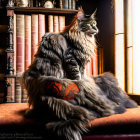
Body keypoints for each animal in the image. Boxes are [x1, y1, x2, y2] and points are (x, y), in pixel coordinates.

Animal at [22, 9, 138, 139]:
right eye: (90, 24)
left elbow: (81, 75)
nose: (97, 28)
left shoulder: (81, 64)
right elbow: (76, 76)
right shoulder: (72, 59)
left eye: (95, 24)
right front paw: (79, 82)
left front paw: (83, 82)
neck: (83, 38)